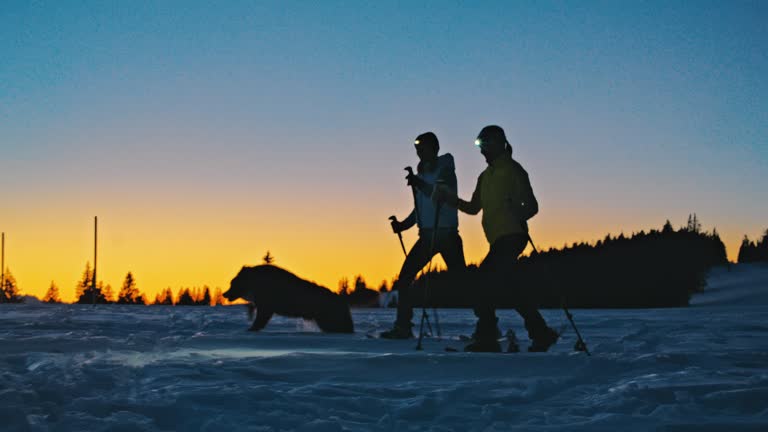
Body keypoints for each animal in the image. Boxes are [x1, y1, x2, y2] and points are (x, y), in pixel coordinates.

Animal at [222, 264, 354, 332]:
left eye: (233, 283)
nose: (224, 294)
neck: (255, 283)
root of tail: (342, 301)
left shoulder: (265, 307)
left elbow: (259, 321)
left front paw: (251, 329)